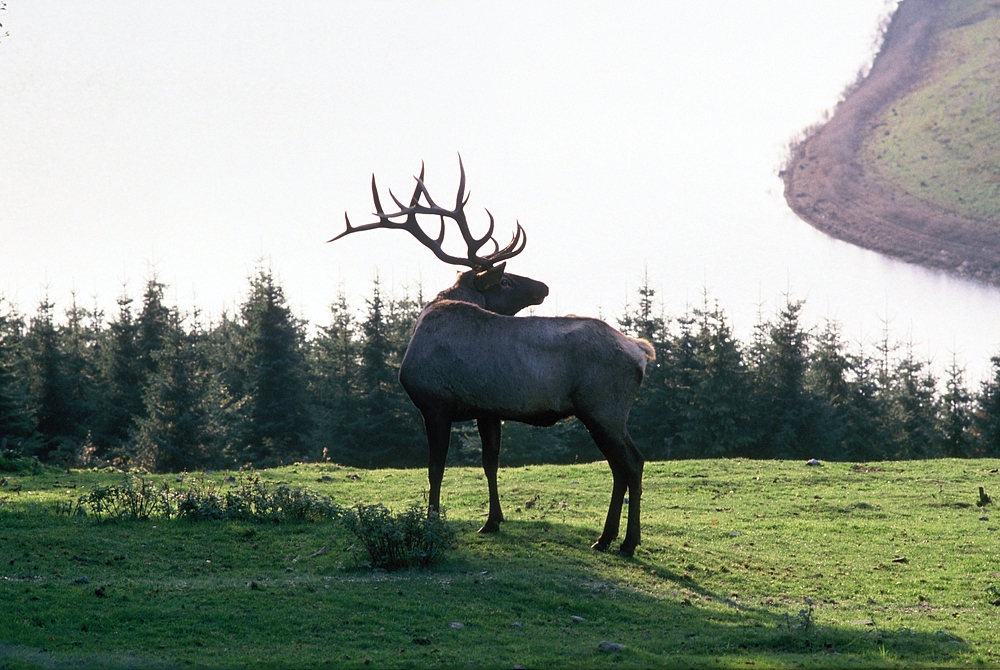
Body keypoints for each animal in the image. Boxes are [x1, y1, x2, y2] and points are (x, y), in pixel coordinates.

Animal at [332, 160, 652, 560]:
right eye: (505, 281)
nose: (543, 287)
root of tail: (641, 352)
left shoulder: (435, 404)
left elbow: (435, 467)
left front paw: (432, 520)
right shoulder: (487, 410)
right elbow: (490, 462)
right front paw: (492, 521)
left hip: (603, 408)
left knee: (631, 463)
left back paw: (626, 542)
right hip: (603, 412)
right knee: (623, 466)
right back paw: (608, 538)